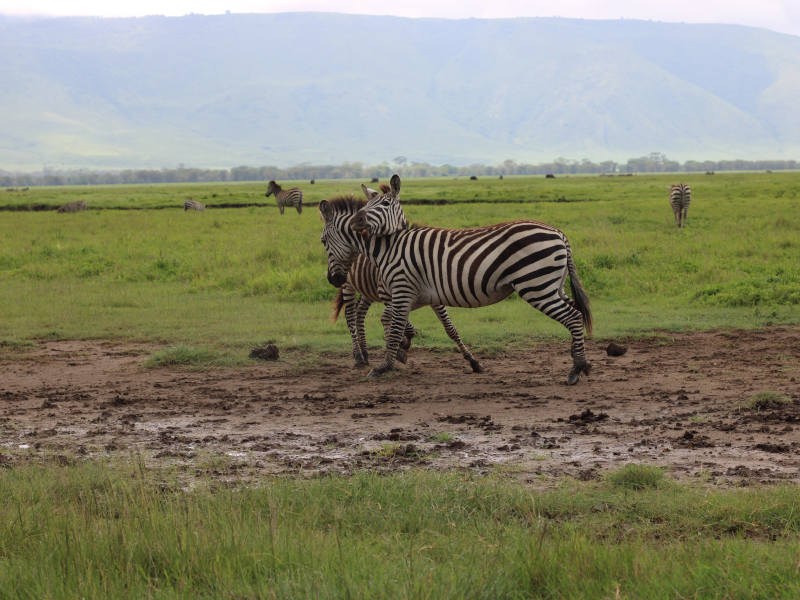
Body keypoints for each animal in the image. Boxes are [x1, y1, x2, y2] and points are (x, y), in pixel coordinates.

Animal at [318, 193, 482, 370]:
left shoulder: (432, 295)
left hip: (366, 289)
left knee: (359, 313)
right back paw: (358, 356)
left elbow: (449, 327)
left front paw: (472, 360)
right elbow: (395, 319)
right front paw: (401, 345)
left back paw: (365, 353)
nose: (331, 278)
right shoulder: (391, 293)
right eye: (323, 241)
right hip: (348, 285)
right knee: (350, 315)